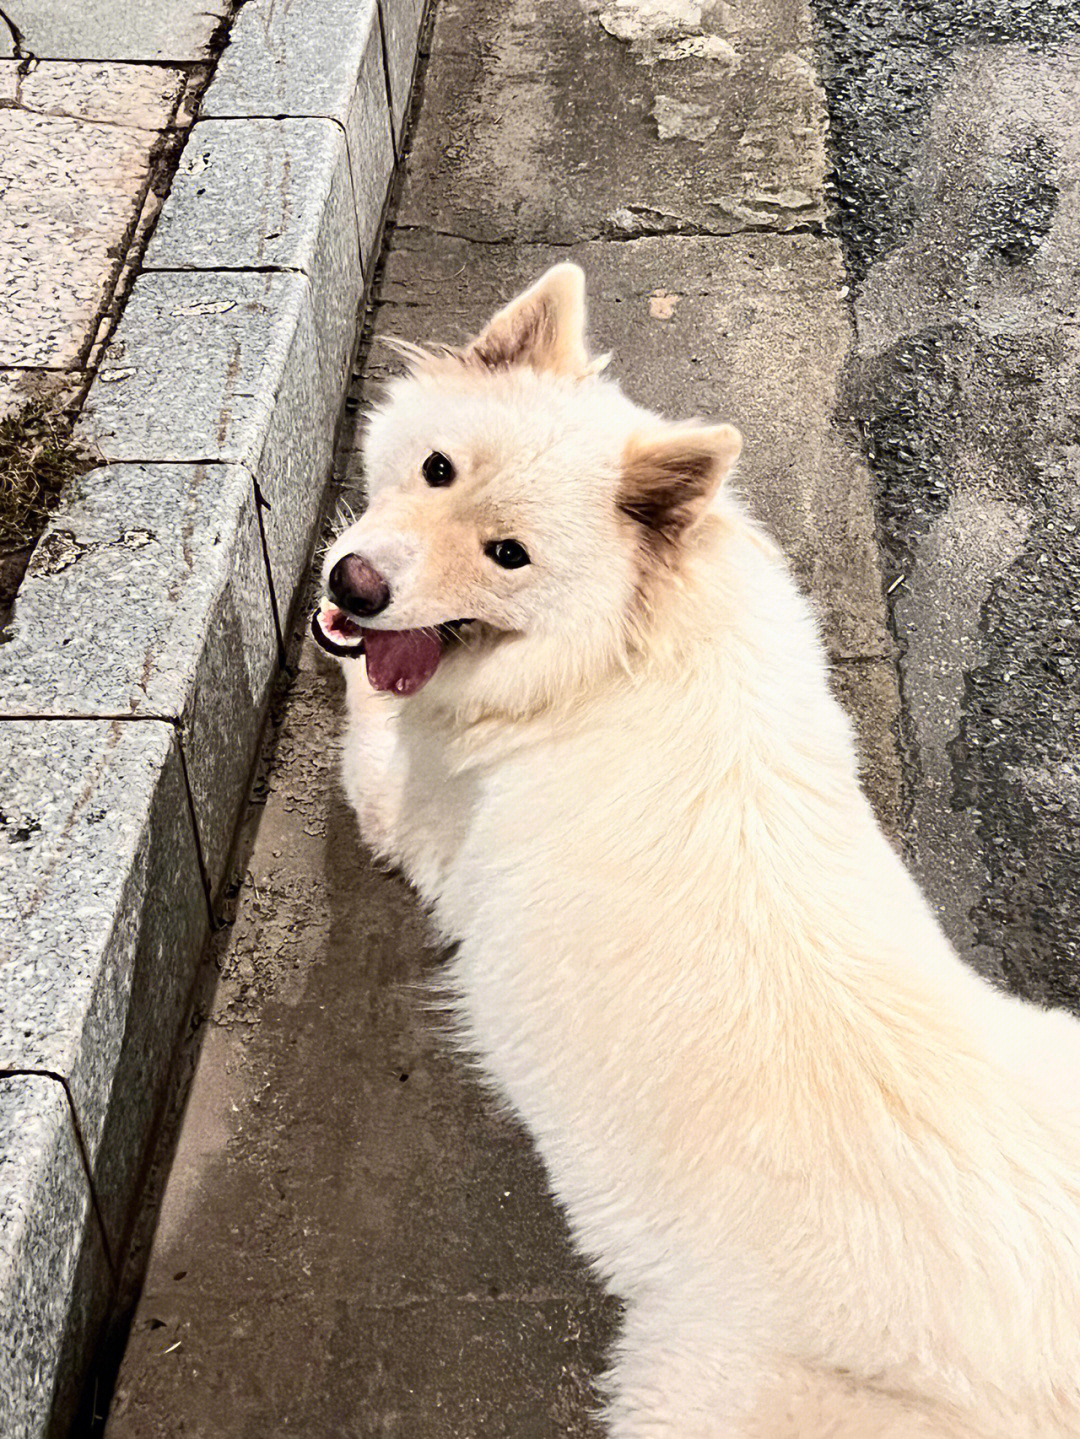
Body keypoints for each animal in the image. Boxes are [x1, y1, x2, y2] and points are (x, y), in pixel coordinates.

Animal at [314, 264, 1080, 1433]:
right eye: (439, 468)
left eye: (507, 555)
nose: (353, 585)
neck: (625, 643)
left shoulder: (412, 808)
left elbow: (363, 710)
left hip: (692, 1387)